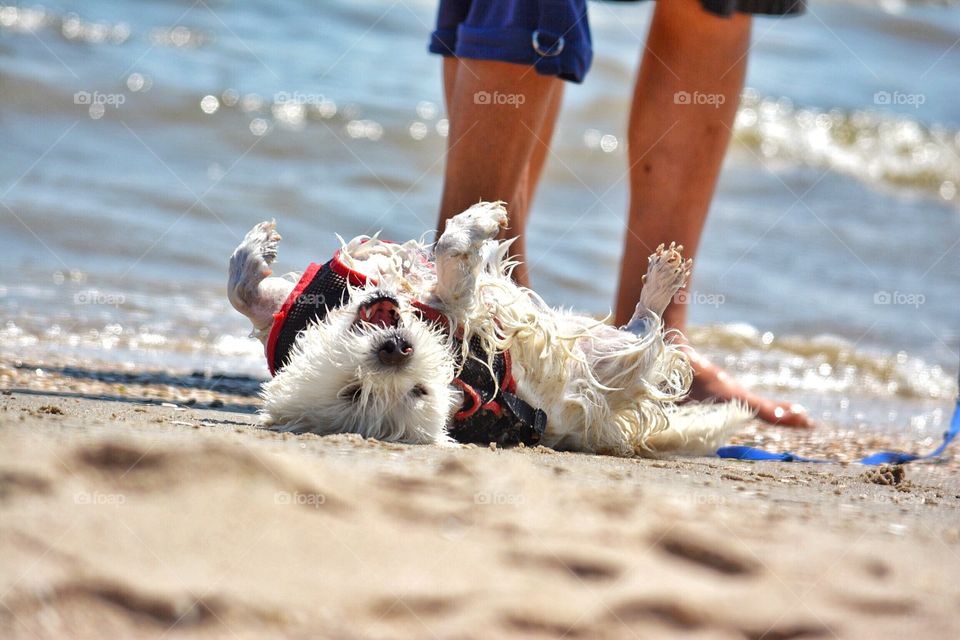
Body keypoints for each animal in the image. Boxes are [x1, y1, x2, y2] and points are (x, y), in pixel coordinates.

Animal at [227, 200, 752, 456]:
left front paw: (256, 246)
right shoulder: (463, 311)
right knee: (646, 334)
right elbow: (451, 254)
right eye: (355, 393)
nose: (395, 349)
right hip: (605, 364)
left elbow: (242, 290)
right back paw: (661, 283)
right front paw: (480, 221)